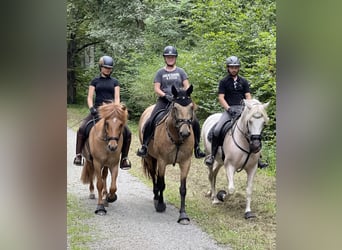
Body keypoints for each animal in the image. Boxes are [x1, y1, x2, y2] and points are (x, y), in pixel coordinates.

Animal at [137, 85, 194, 224]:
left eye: (191, 107)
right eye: (175, 107)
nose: (185, 133)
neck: (177, 139)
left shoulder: (185, 163)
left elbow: (183, 189)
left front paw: (183, 214)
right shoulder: (162, 161)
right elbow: (162, 184)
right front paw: (161, 205)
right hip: (150, 157)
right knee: (154, 176)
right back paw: (156, 197)